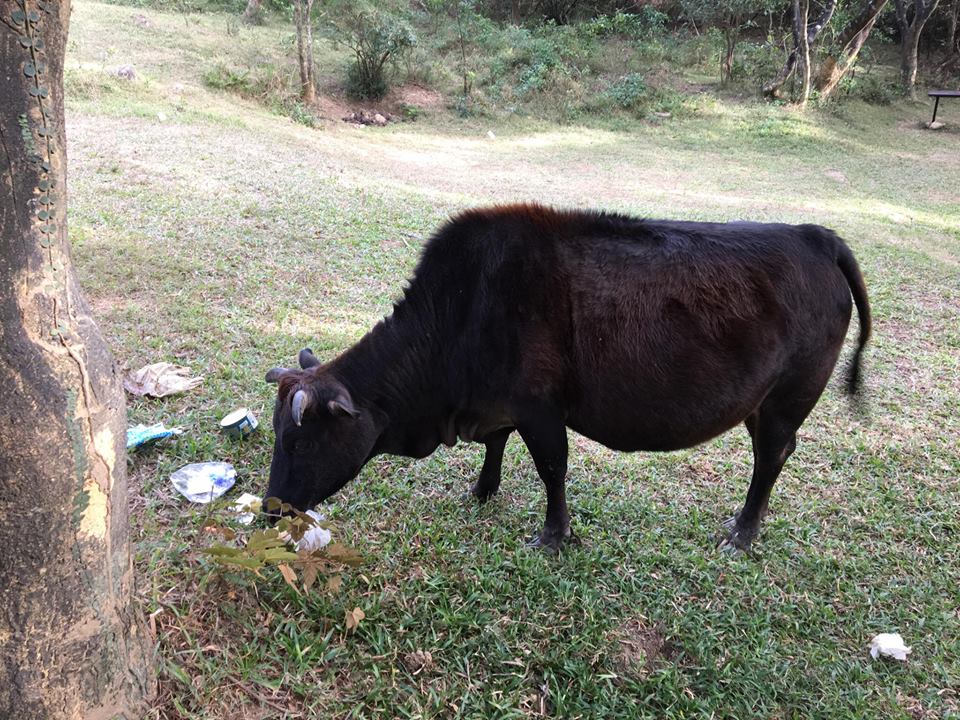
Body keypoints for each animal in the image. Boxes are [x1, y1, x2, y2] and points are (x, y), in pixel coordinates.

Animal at [262, 204, 872, 552]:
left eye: (299, 441)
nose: (269, 508)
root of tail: (817, 237)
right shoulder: (500, 405)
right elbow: (496, 445)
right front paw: (483, 490)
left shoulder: (540, 410)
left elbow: (552, 468)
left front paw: (554, 535)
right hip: (761, 403)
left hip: (787, 399)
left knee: (771, 458)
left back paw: (743, 532)